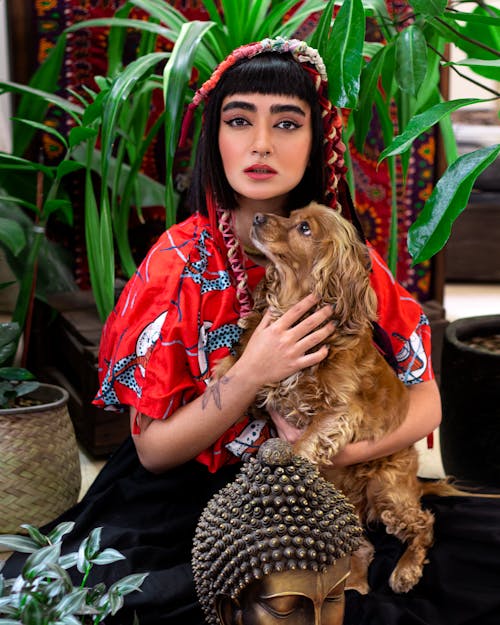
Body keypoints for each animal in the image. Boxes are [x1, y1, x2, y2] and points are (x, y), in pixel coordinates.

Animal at [217, 204, 436, 596]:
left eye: (304, 228)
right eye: (290, 214)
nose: (257, 217)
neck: (293, 307)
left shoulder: (340, 411)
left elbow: (304, 442)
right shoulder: (265, 389)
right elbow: (240, 368)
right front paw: (219, 376)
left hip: (387, 488)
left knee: (423, 524)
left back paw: (405, 571)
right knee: (362, 547)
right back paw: (353, 582)